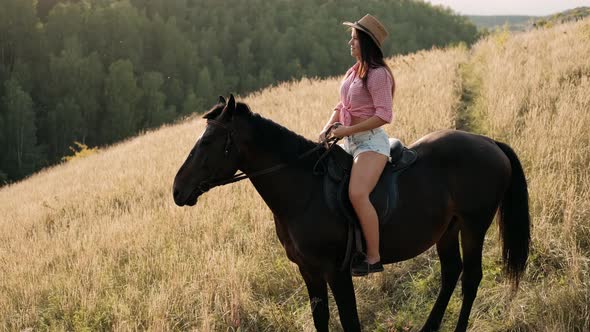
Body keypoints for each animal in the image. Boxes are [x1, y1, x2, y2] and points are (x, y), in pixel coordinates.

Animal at [172, 94, 532, 330]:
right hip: (449, 228)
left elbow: (349, 321)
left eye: (208, 141)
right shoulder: (309, 271)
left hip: (474, 225)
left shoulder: (337, 271)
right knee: (451, 273)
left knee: (470, 278)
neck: (304, 192)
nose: (177, 190)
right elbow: (322, 319)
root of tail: (489, 142)